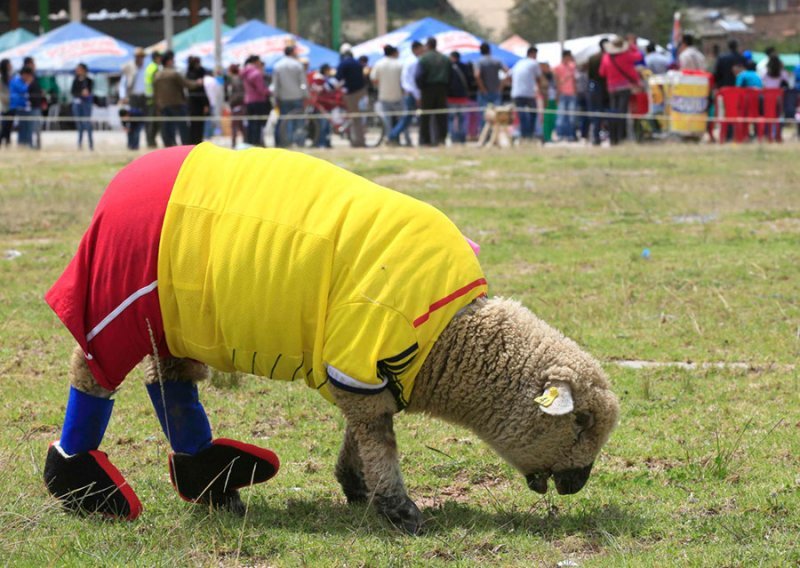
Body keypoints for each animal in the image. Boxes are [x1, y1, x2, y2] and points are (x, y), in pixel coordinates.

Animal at [42, 142, 620, 532]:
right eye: (579, 424)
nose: (578, 484)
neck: (448, 338)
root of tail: (127, 174)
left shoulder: (364, 371)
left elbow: (364, 431)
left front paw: (355, 485)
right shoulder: (362, 350)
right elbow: (380, 442)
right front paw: (400, 511)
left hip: (176, 320)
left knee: (170, 384)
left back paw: (214, 482)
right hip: (120, 297)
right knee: (92, 375)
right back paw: (85, 489)